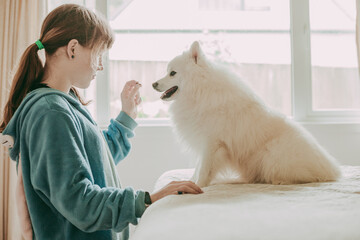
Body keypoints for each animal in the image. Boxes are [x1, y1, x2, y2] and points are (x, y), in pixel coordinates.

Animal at [152, 41, 340, 188]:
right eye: (167, 72)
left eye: (172, 73)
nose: (154, 84)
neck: (200, 90)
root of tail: (331, 169)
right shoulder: (207, 142)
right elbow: (199, 167)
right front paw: (190, 181)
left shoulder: (212, 142)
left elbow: (204, 168)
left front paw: (198, 185)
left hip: (273, 154)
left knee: (307, 177)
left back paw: (280, 180)